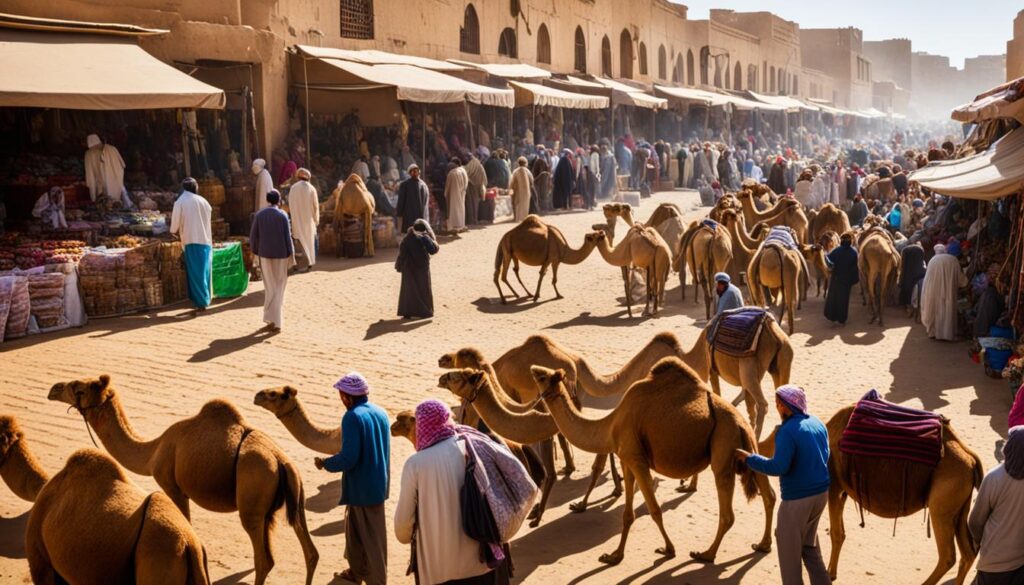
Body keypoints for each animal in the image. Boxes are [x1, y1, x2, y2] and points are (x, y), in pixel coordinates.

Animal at [48, 374, 317, 585]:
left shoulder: (172, 485)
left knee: (264, 559)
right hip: (287, 498)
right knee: (309, 550)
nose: (54, 389)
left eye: (79, 389)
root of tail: (281, 461)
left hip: (252, 498)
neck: (153, 451)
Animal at [528, 362, 774, 569]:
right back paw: (762, 544)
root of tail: (741, 423)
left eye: (542, 376)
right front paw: (614, 556)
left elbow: (654, 509)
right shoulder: (627, 459)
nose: (533, 368)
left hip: (723, 445)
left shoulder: (636, 459)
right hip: (748, 445)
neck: (611, 424)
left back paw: (706, 554)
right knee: (769, 494)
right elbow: (627, 514)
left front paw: (668, 549)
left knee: (728, 513)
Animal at [761, 407, 983, 585]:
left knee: (948, 555)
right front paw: (832, 572)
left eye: (776, 439)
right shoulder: (843, 490)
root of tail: (970, 459)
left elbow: (836, 533)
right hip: (959, 507)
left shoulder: (833, 486)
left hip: (941, 507)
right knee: (968, 551)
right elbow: (841, 533)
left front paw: (830, 574)